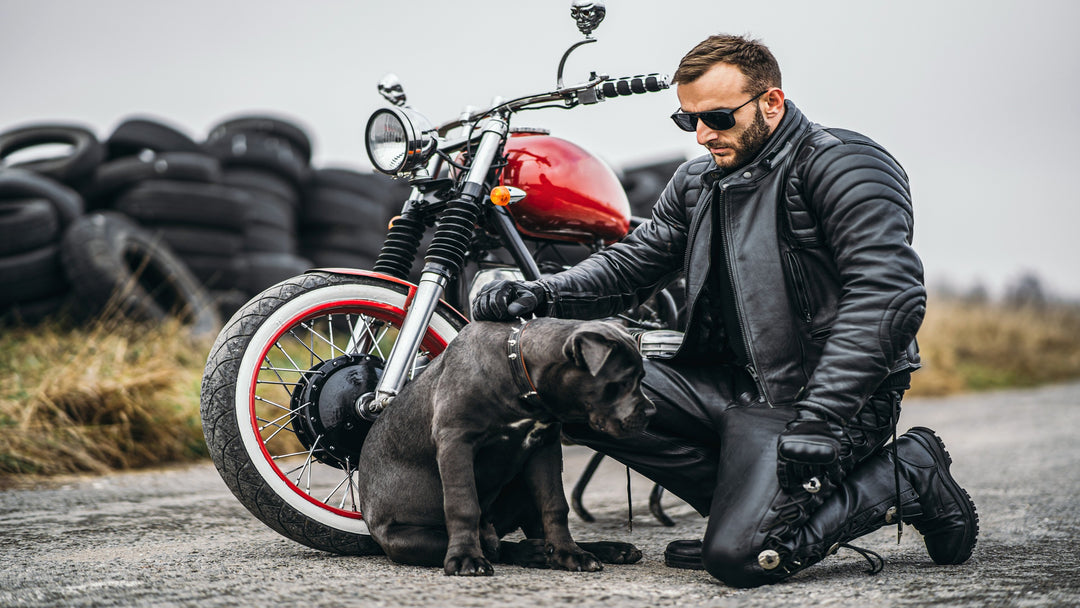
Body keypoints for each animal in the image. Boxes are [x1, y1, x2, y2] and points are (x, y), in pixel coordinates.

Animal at [358, 319, 652, 574]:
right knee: (493, 546)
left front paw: (570, 554)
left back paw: (605, 549)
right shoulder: (456, 442)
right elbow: (463, 505)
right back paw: (528, 552)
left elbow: (556, 505)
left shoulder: (544, 447)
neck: (517, 375)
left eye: (642, 377)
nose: (652, 411)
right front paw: (465, 558)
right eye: (622, 382)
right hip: (408, 539)